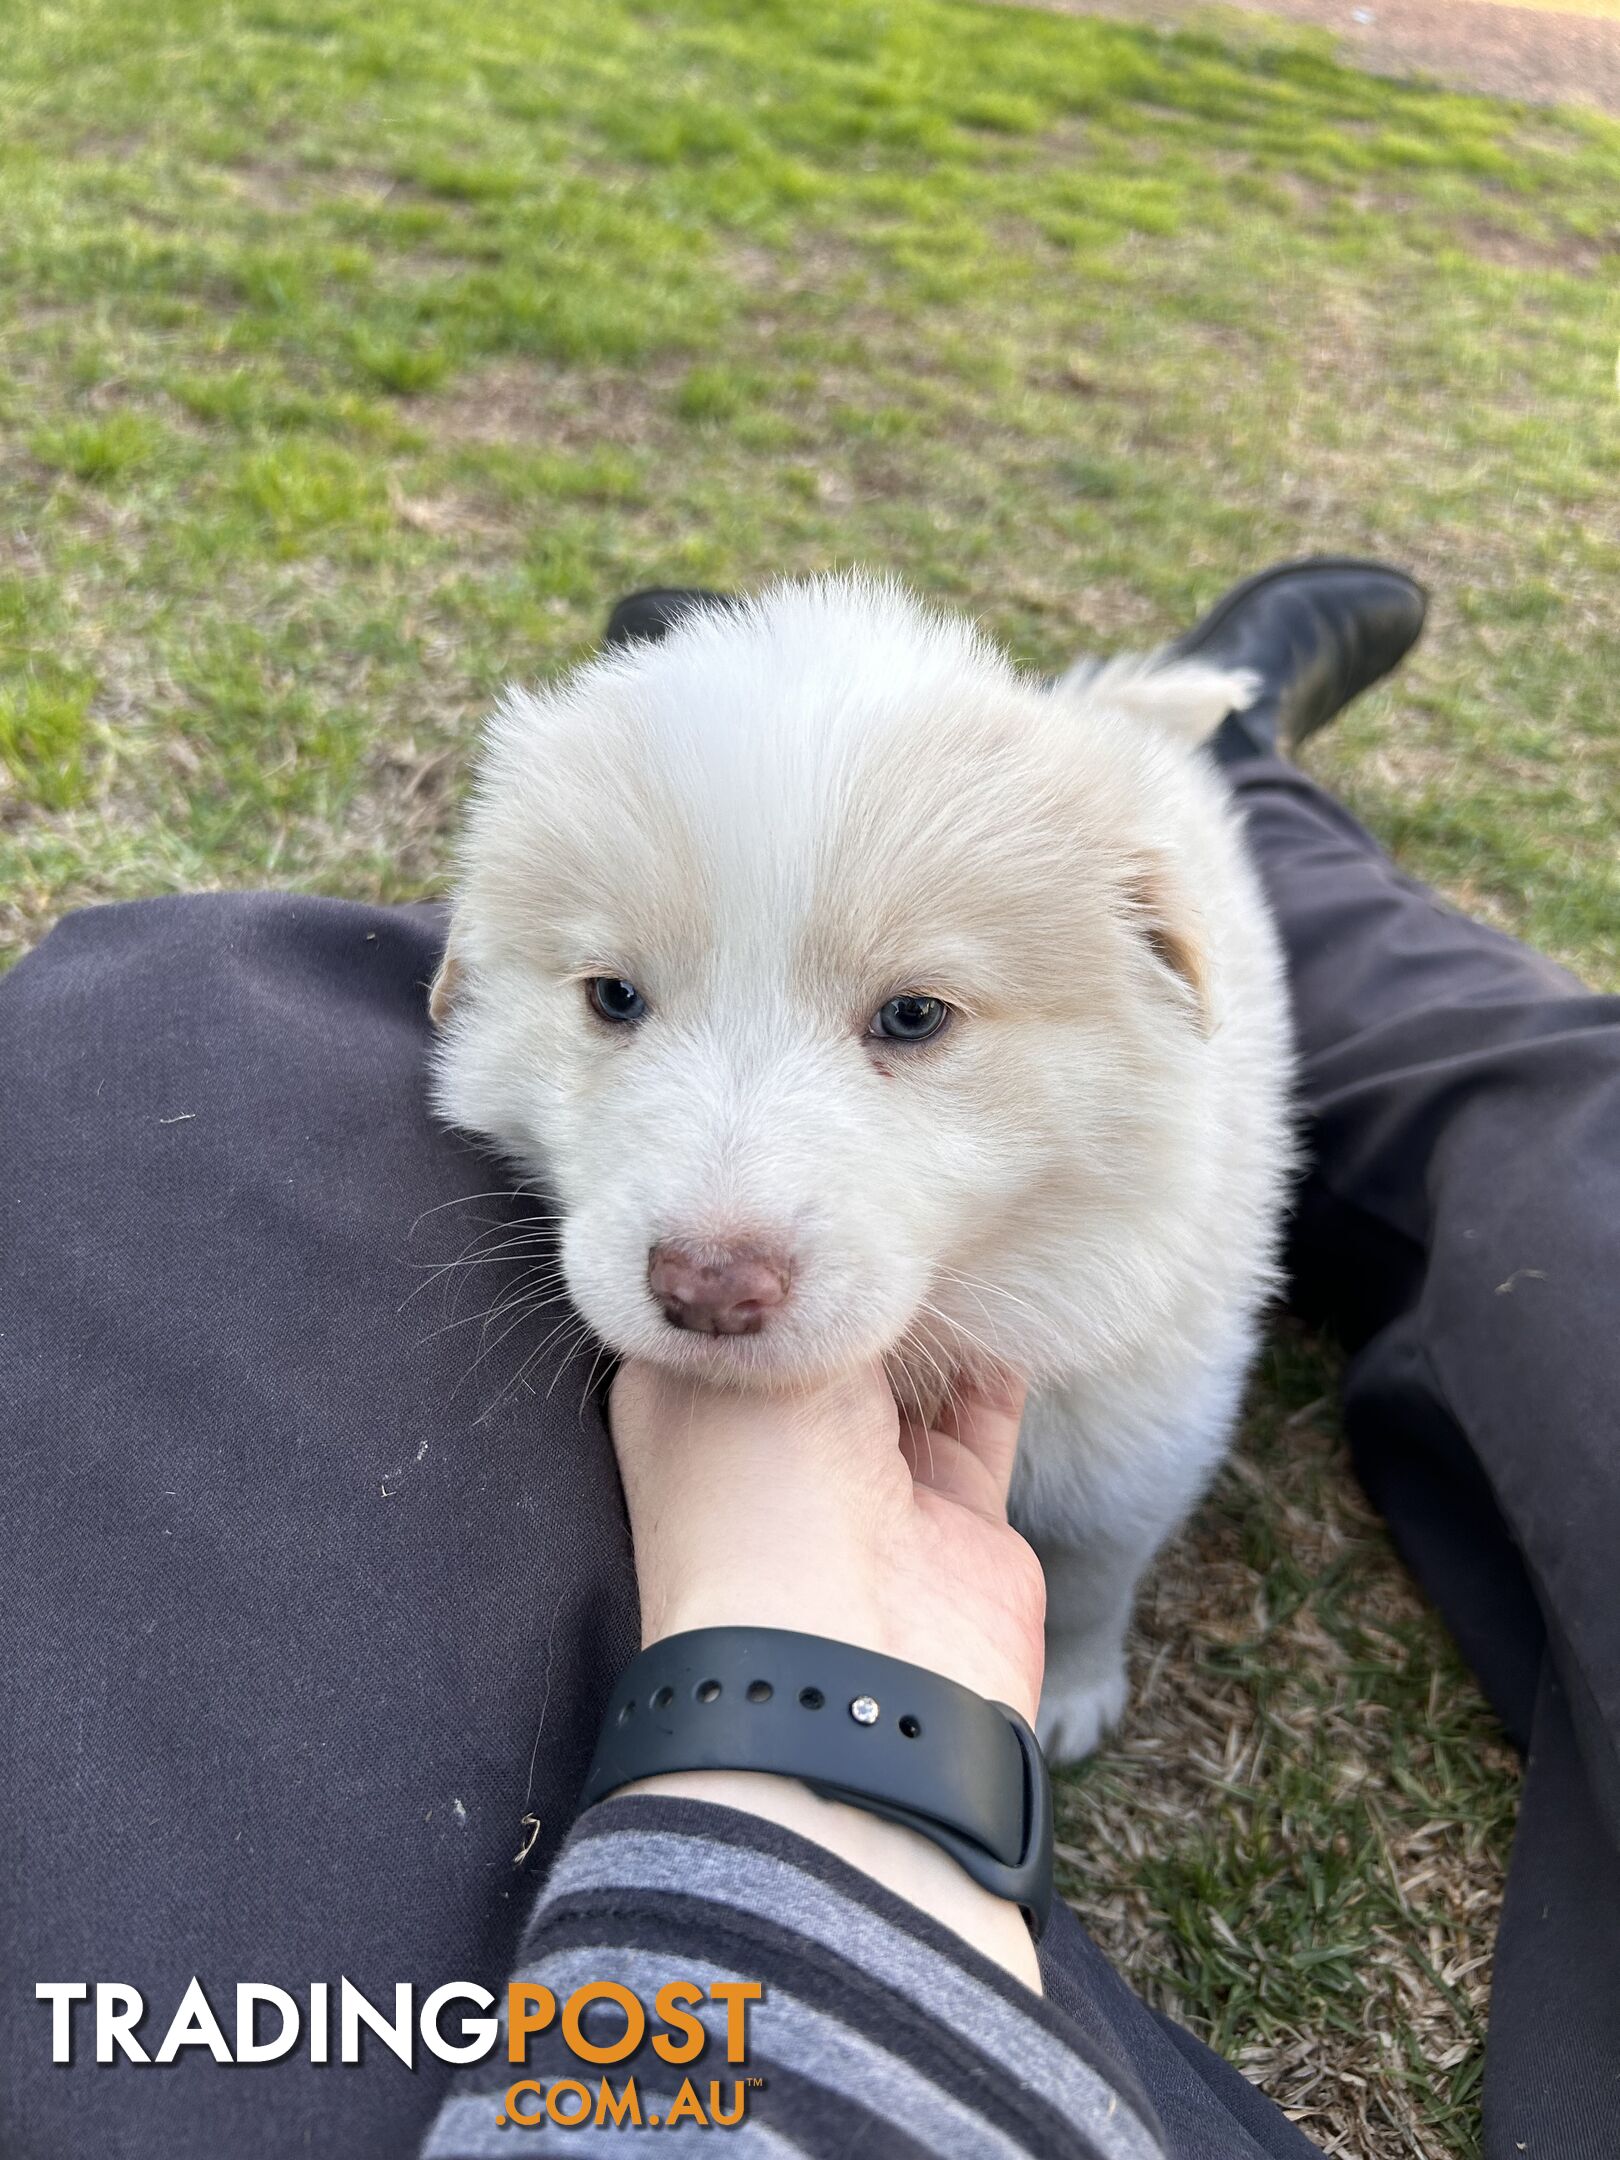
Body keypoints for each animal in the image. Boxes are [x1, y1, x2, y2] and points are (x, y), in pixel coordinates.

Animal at [427, 574, 1296, 1753]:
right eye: (613, 996)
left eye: (913, 1015)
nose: (709, 1289)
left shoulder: (1138, 1422)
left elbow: (1088, 1571)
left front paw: (1073, 1697)